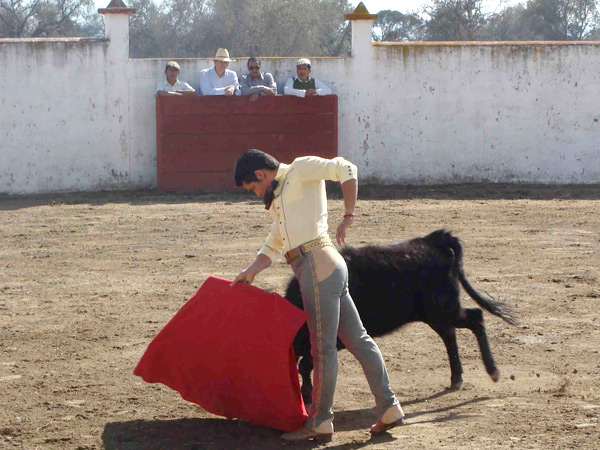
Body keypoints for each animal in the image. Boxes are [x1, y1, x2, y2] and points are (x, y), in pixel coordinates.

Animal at [284, 229, 516, 404]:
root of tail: (432, 241)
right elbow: (304, 365)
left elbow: (305, 365)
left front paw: (307, 396)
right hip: (435, 315)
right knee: (450, 335)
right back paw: (456, 378)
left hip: (443, 309)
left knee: (475, 317)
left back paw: (493, 371)